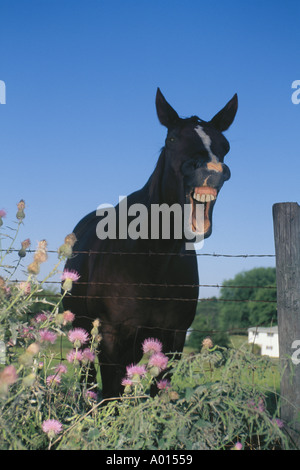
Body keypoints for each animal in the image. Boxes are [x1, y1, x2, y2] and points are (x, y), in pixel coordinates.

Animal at [63, 88, 237, 396]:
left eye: (224, 144)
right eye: (172, 139)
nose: (211, 170)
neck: (153, 256)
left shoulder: (173, 337)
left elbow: (158, 392)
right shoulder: (112, 333)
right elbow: (111, 393)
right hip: (83, 331)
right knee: (87, 378)